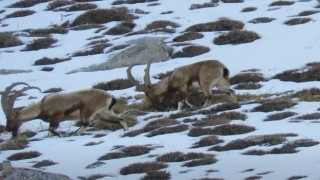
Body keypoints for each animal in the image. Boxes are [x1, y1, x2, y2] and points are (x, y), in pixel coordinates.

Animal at [1, 82, 129, 137]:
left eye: (9, 118)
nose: (7, 129)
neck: (42, 106)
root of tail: (109, 97)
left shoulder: (56, 118)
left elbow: (51, 131)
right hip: (103, 113)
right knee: (121, 119)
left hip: (86, 112)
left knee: (84, 124)